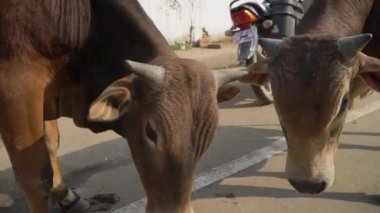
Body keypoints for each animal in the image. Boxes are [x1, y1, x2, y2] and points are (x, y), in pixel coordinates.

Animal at [0, 0, 245, 213]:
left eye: (207, 140)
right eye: (151, 131)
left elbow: (51, 144)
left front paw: (65, 195)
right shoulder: (18, 90)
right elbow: (35, 178)